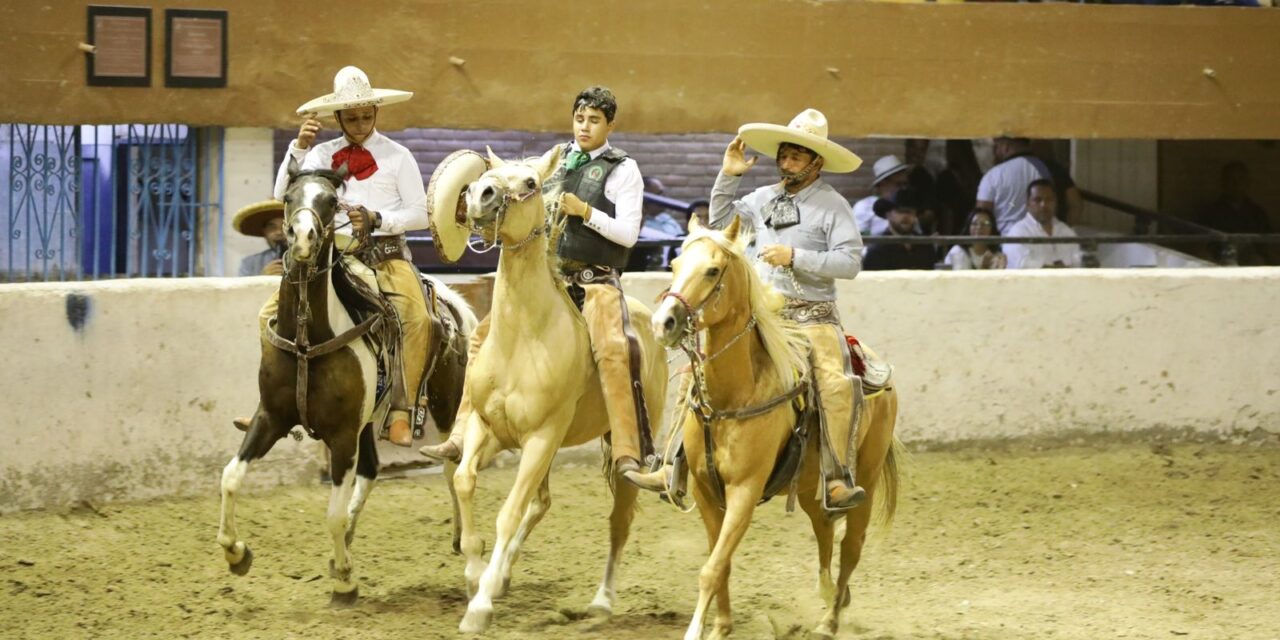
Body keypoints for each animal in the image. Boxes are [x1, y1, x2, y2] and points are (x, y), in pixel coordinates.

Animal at [217, 162, 478, 606]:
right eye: (289, 197)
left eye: (330, 201)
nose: (302, 237)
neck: (309, 339)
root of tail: (451, 302)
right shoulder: (271, 417)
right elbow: (231, 478)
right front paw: (236, 553)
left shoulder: (340, 435)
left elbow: (332, 514)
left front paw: (344, 581)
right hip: (367, 422)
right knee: (372, 471)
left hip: (445, 407)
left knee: (451, 464)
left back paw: (461, 540)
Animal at [450, 149, 670, 634]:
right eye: (492, 173)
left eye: (532, 182)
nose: (479, 194)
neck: (523, 336)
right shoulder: (485, 426)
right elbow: (464, 481)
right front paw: (476, 576)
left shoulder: (541, 438)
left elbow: (509, 513)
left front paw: (479, 607)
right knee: (542, 501)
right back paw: (502, 575)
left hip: (618, 446)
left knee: (618, 521)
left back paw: (601, 601)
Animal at [650, 218, 901, 640]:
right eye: (675, 265)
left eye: (712, 270)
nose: (663, 322)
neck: (733, 397)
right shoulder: (704, 490)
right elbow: (721, 562)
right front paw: (722, 625)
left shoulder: (744, 490)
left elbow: (711, 568)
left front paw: (697, 629)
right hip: (811, 485)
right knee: (824, 530)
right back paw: (828, 593)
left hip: (863, 476)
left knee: (851, 546)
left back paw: (830, 620)